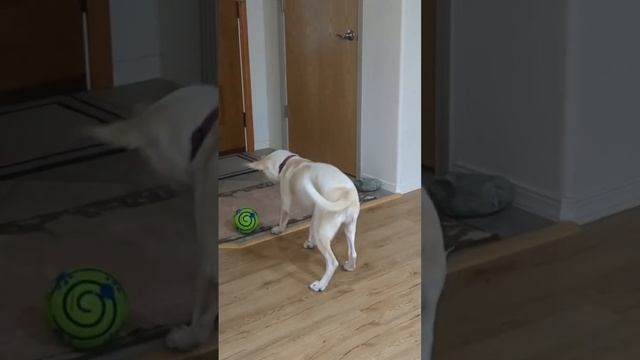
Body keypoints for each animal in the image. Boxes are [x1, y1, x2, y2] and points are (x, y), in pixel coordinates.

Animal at [249, 150, 360, 292]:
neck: (291, 161)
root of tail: (346, 195)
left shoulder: (286, 201)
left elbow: (283, 218)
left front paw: (278, 229)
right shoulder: (315, 212)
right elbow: (311, 227)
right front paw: (310, 243)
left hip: (322, 233)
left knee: (332, 262)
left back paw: (320, 285)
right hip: (349, 227)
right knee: (353, 252)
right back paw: (350, 266)